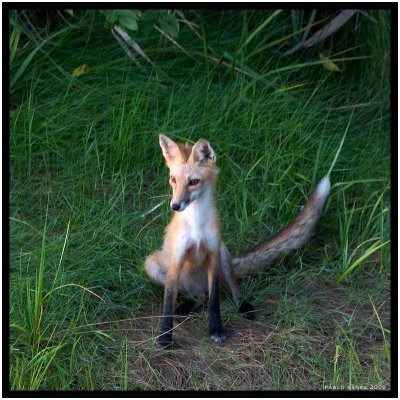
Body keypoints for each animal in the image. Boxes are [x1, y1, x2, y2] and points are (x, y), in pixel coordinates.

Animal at [145, 134, 330, 346]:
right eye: (173, 179)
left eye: (193, 182)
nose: (175, 206)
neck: (197, 225)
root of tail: (197, 282)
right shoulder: (176, 259)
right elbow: (168, 304)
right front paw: (164, 337)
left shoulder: (214, 252)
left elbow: (214, 300)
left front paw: (216, 329)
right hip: (153, 265)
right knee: (200, 296)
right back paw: (186, 307)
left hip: (223, 254)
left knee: (224, 290)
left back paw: (243, 305)